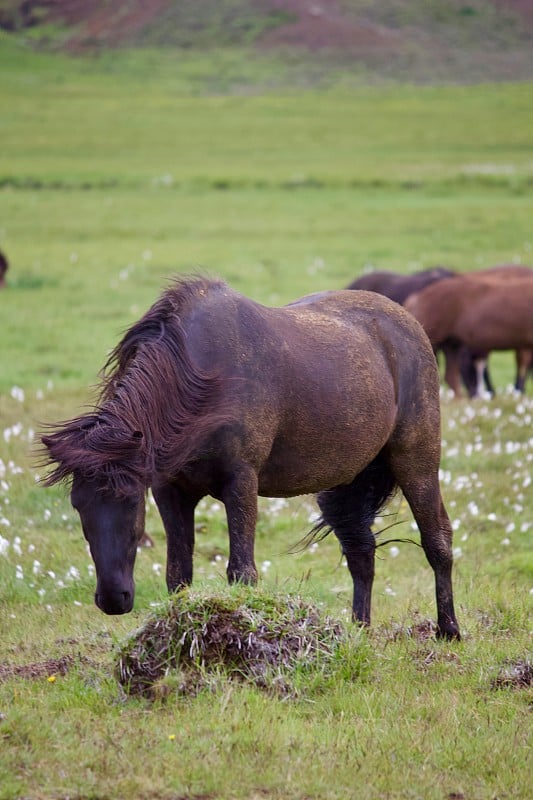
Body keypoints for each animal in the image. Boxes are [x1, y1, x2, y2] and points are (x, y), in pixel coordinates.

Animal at [39, 278, 460, 640]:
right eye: (77, 505)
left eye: (130, 501)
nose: (113, 599)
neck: (199, 378)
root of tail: (407, 321)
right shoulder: (170, 490)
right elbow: (178, 574)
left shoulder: (241, 482)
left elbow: (241, 571)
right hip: (347, 480)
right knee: (361, 552)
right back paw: (359, 632)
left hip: (416, 462)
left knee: (437, 539)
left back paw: (449, 630)